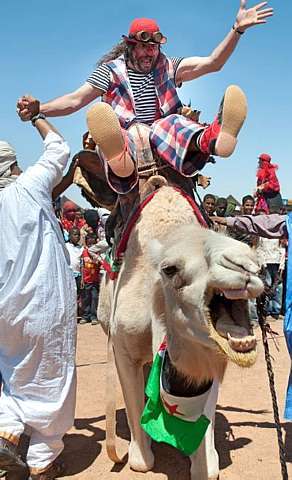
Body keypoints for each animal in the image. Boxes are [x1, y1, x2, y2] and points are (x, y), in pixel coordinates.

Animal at [98, 185, 264, 480]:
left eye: (253, 257)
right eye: (170, 269)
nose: (243, 267)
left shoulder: (211, 356)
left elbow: (206, 465)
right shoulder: (122, 349)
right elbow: (142, 461)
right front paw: (141, 446)